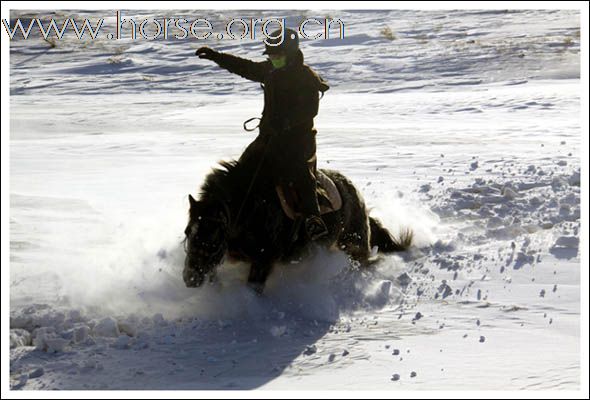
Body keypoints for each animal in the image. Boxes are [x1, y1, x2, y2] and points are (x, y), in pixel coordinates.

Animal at [184, 159, 412, 294]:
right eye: (188, 232)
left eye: (214, 240)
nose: (190, 279)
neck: (250, 210)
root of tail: (354, 190)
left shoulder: (262, 261)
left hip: (354, 245)